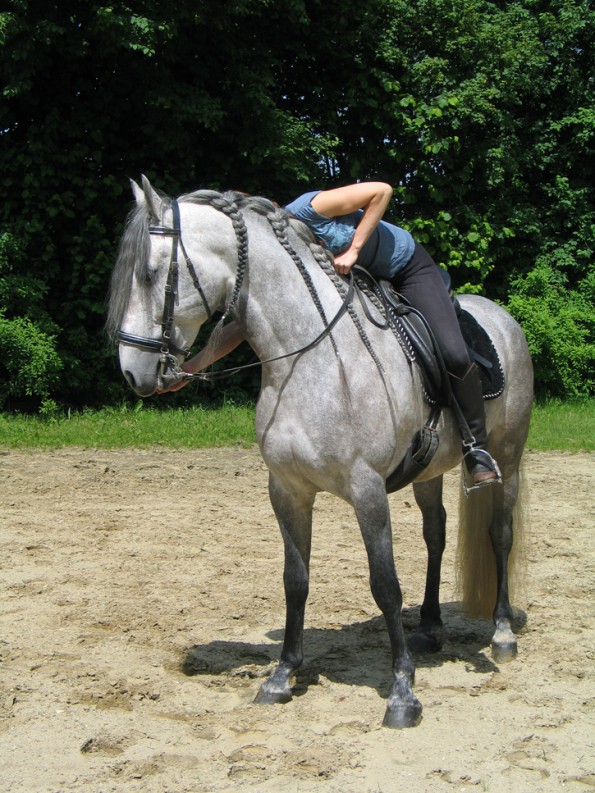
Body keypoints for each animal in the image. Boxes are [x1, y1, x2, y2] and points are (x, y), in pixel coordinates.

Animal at [107, 176, 536, 728]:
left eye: (150, 273)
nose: (132, 372)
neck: (309, 358)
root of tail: (501, 317)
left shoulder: (367, 489)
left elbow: (385, 584)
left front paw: (402, 692)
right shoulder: (287, 491)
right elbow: (295, 580)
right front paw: (283, 675)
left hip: (508, 455)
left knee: (499, 534)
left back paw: (501, 632)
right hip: (429, 473)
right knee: (436, 536)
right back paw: (429, 627)